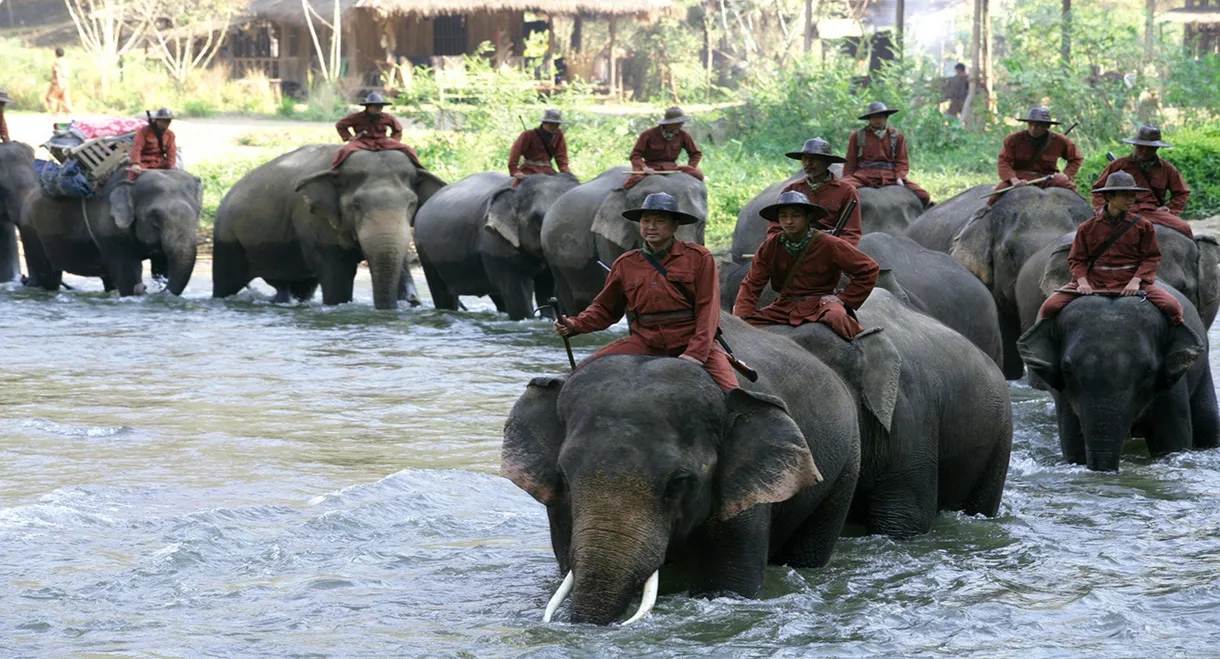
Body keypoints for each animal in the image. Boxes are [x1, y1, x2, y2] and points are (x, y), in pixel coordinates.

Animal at [20, 169, 202, 295]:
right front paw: (135, 291)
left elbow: (162, 265)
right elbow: (128, 275)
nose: (145, 288)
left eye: (197, 212)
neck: (131, 183)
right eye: (155, 216)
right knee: (46, 276)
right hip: (30, 230)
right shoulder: (111, 232)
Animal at [212, 145, 445, 310]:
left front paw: (411, 301)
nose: (411, 301)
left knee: (297, 287)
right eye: (356, 205)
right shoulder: (314, 219)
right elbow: (337, 279)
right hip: (226, 236)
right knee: (226, 284)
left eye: (412, 204)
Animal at [413, 171, 578, 320]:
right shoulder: (495, 241)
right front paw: (527, 319)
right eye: (538, 219)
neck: (516, 191)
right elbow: (519, 292)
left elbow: (547, 287)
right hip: (425, 252)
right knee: (443, 293)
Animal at [1017, 286, 1219, 471]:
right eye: (1067, 368)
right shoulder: (1064, 393)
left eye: (1148, 370)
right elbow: (1073, 443)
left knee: (1208, 422)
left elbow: (1172, 440)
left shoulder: (1170, 387)